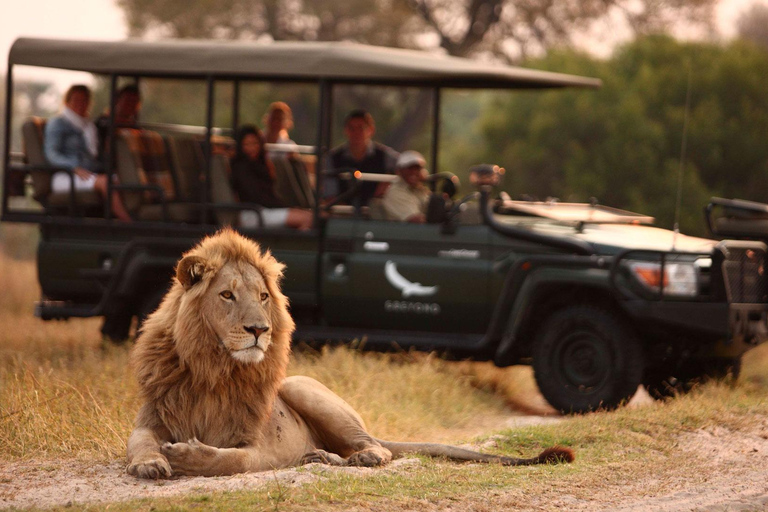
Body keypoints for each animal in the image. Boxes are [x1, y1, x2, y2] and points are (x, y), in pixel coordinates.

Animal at [124, 230, 568, 478]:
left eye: (263, 297)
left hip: (304, 388)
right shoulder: (151, 417)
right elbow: (139, 441)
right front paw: (149, 462)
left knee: (378, 448)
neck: (213, 369)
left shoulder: (260, 447)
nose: (259, 330)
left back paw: (354, 459)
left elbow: (231, 461)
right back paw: (320, 457)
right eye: (227, 295)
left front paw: (187, 457)